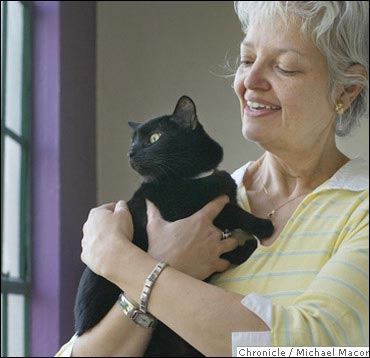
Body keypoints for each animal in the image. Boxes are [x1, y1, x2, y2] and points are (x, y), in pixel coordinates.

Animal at [73, 95, 274, 356]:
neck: (191, 179)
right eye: (133, 140)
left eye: (154, 138)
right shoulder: (182, 213)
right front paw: (261, 228)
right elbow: (232, 213)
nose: (130, 152)